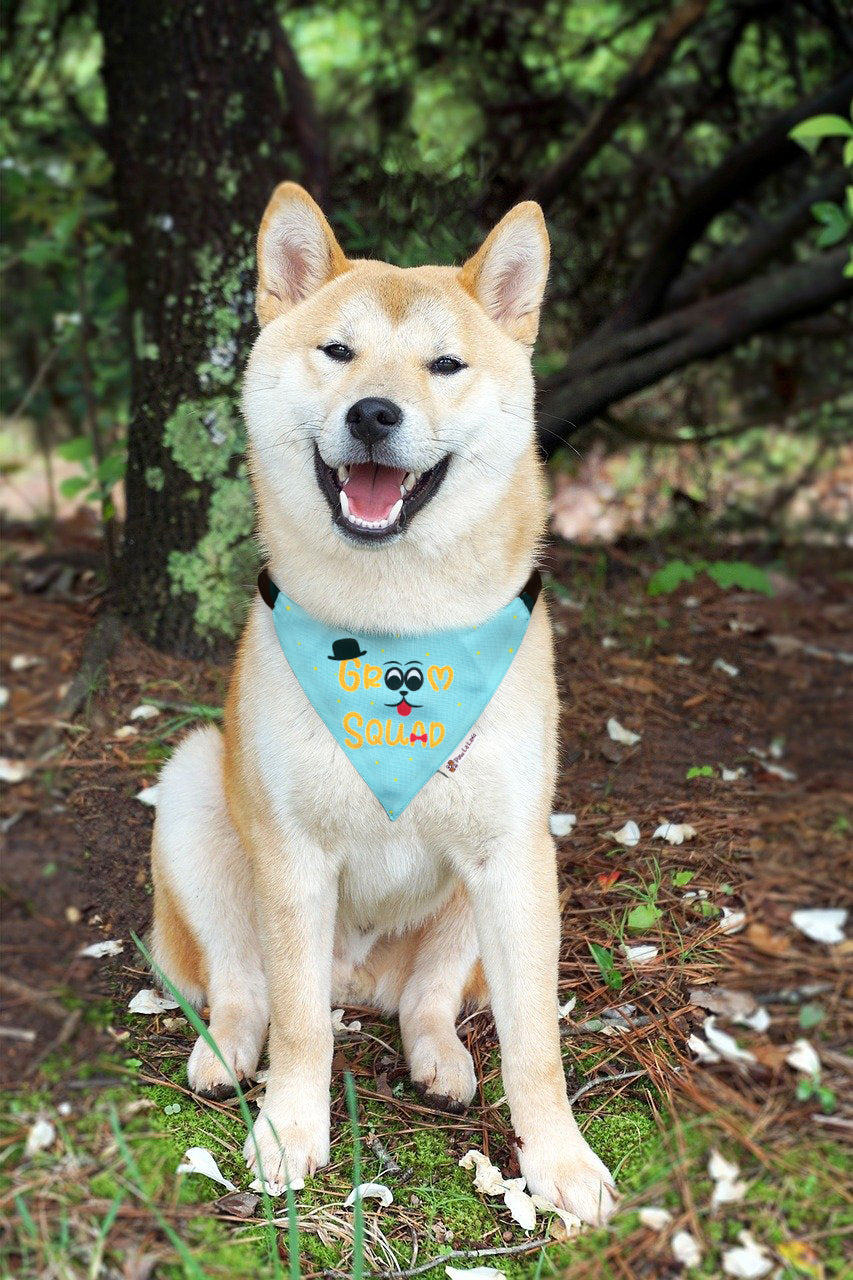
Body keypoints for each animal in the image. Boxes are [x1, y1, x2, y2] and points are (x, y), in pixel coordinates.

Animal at [149, 185, 614, 1223]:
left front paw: (558, 1162)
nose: (373, 412)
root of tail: (356, 977)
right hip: (196, 793)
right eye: (338, 352)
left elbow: (535, 1045)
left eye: (444, 364)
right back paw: (225, 1050)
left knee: (424, 1003)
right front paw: (289, 1129)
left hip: (497, 887)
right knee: (245, 987)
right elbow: (298, 1031)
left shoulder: (512, 853)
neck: (398, 627)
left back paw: (438, 1059)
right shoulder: (292, 856)